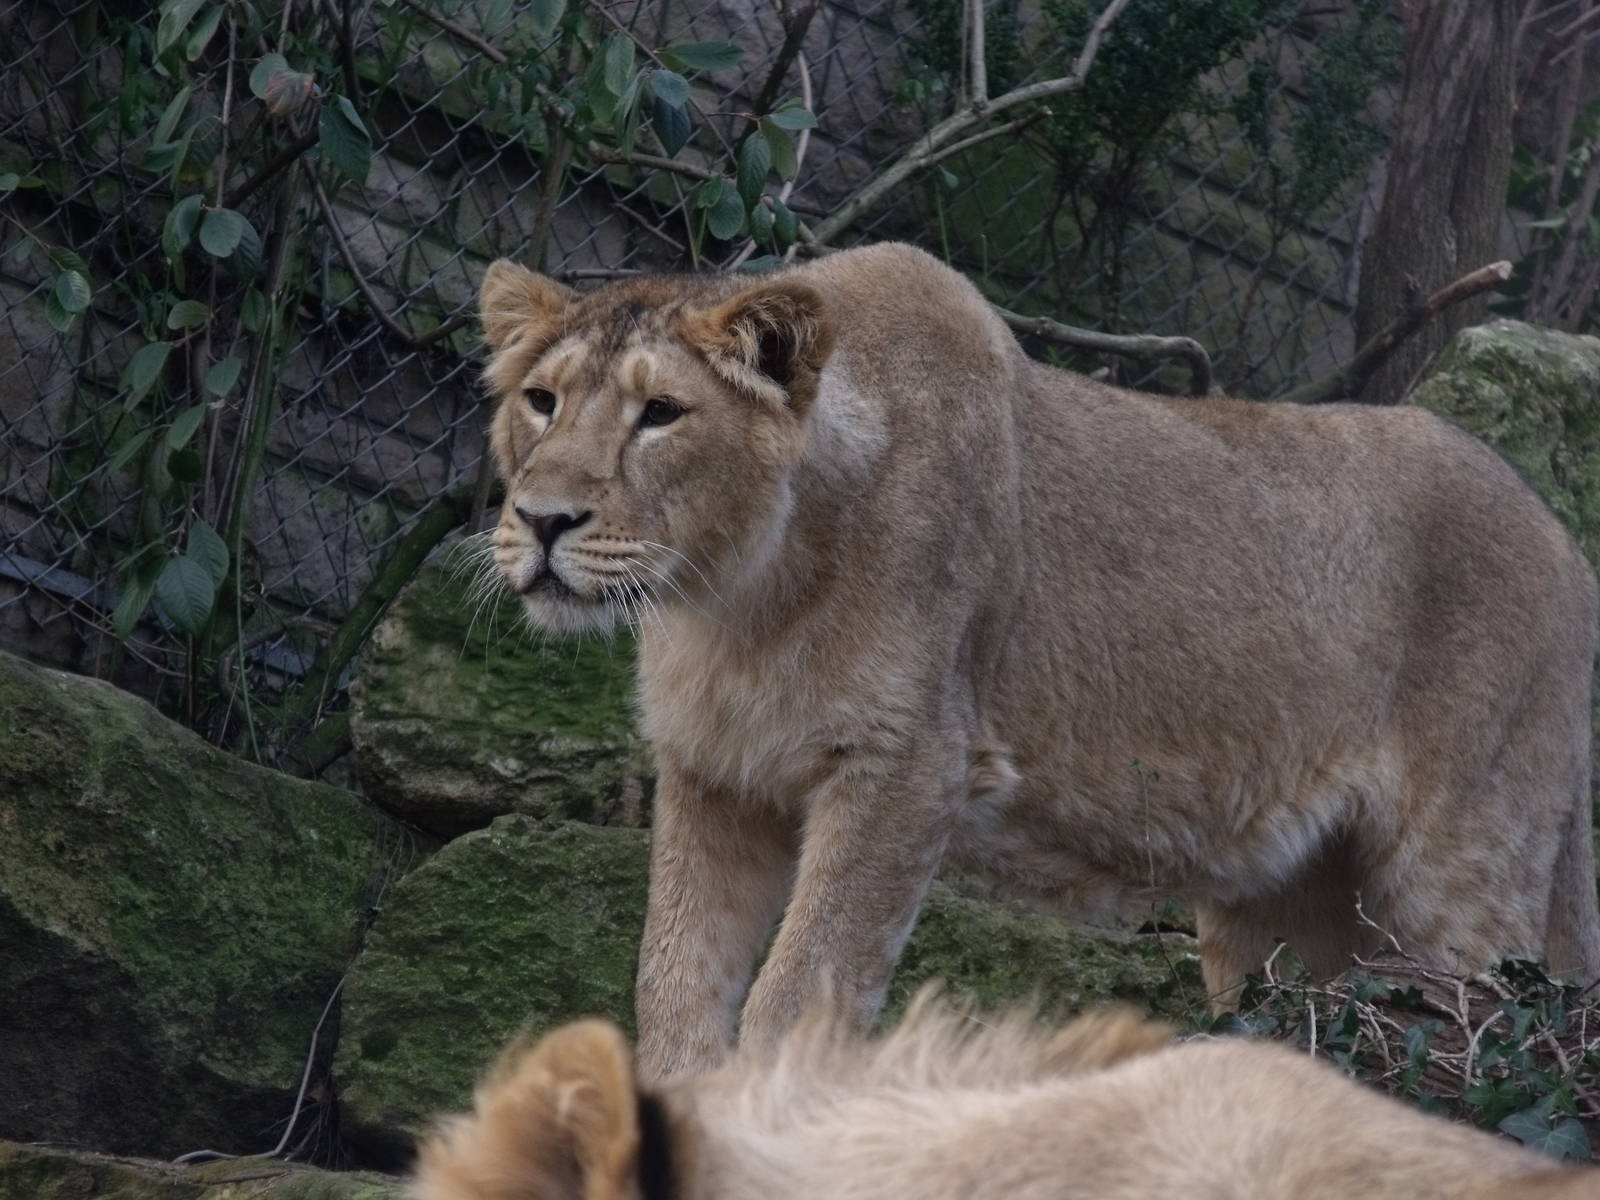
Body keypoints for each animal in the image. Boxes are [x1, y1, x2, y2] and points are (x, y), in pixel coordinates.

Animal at [477, 242, 1600, 1081]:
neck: (734, 599)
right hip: (1287, 905)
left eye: (661, 414)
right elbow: (672, 987)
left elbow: (798, 996)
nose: (542, 521)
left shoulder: (906, 769)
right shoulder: (717, 779)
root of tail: (1565, 541)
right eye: (541, 401)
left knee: (1487, 1033)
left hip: (1458, 876)